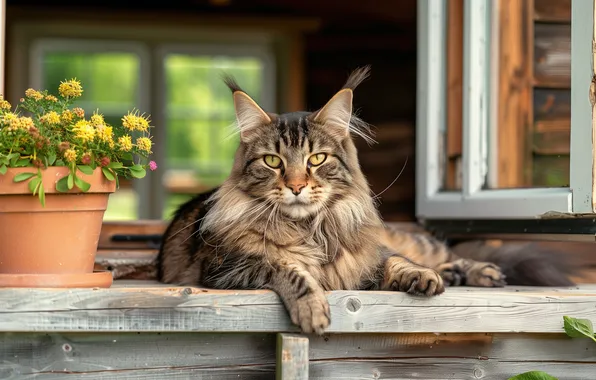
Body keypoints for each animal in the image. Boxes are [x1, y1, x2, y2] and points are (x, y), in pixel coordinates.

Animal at [156, 67, 576, 334]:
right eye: (273, 162)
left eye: (316, 159)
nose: (296, 186)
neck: (313, 229)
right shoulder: (229, 269)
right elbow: (289, 268)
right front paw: (313, 309)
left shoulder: (367, 257)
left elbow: (396, 263)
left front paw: (422, 278)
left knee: (439, 254)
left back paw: (476, 271)